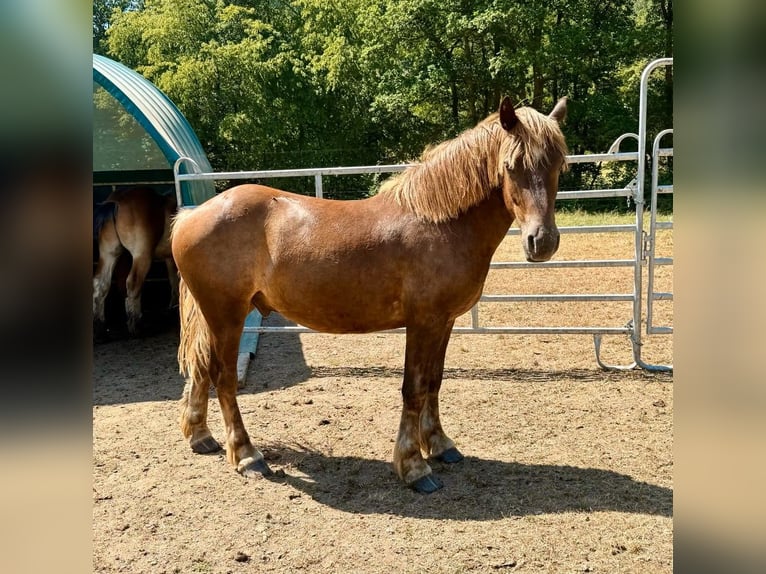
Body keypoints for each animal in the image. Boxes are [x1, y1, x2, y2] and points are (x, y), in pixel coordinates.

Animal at [93, 187, 179, 340]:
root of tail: (116, 201)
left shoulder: (169, 258)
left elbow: (173, 280)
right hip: (142, 255)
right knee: (133, 284)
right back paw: (135, 326)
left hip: (109, 254)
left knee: (100, 284)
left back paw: (100, 329)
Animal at [171, 96, 568, 493]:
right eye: (511, 165)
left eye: (558, 164)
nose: (542, 241)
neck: (441, 223)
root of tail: (191, 215)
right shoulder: (423, 323)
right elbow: (414, 388)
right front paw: (414, 466)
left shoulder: (444, 322)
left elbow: (434, 382)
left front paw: (440, 445)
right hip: (227, 316)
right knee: (223, 379)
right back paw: (248, 455)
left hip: (216, 316)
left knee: (202, 368)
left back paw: (201, 436)